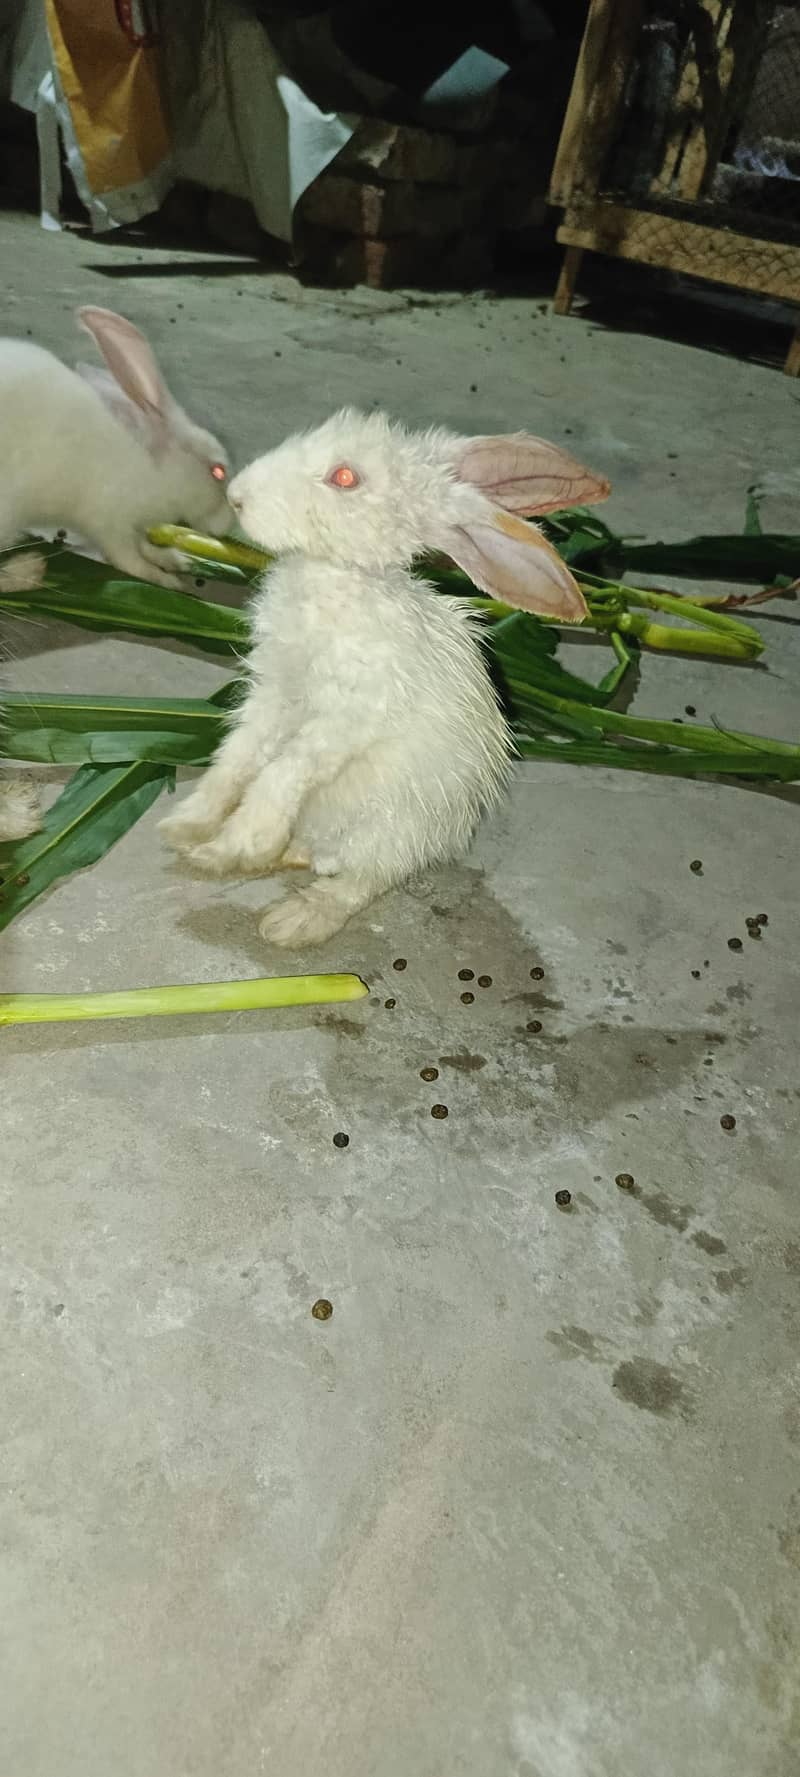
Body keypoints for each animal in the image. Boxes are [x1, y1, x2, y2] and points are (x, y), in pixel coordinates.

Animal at [0, 307, 231, 589]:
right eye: (217, 472)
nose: (229, 523)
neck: (150, 465)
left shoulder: (135, 527)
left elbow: (145, 547)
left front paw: (176, 560)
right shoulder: (110, 522)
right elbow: (129, 561)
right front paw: (167, 581)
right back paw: (29, 570)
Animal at [160, 409, 610, 946]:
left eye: (345, 477)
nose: (237, 496)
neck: (336, 577)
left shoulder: (348, 714)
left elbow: (281, 771)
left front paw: (240, 845)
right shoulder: (271, 695)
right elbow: (235, 760)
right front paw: (187, 828)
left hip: (391, 832)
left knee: (360, 882)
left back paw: (291, 922)